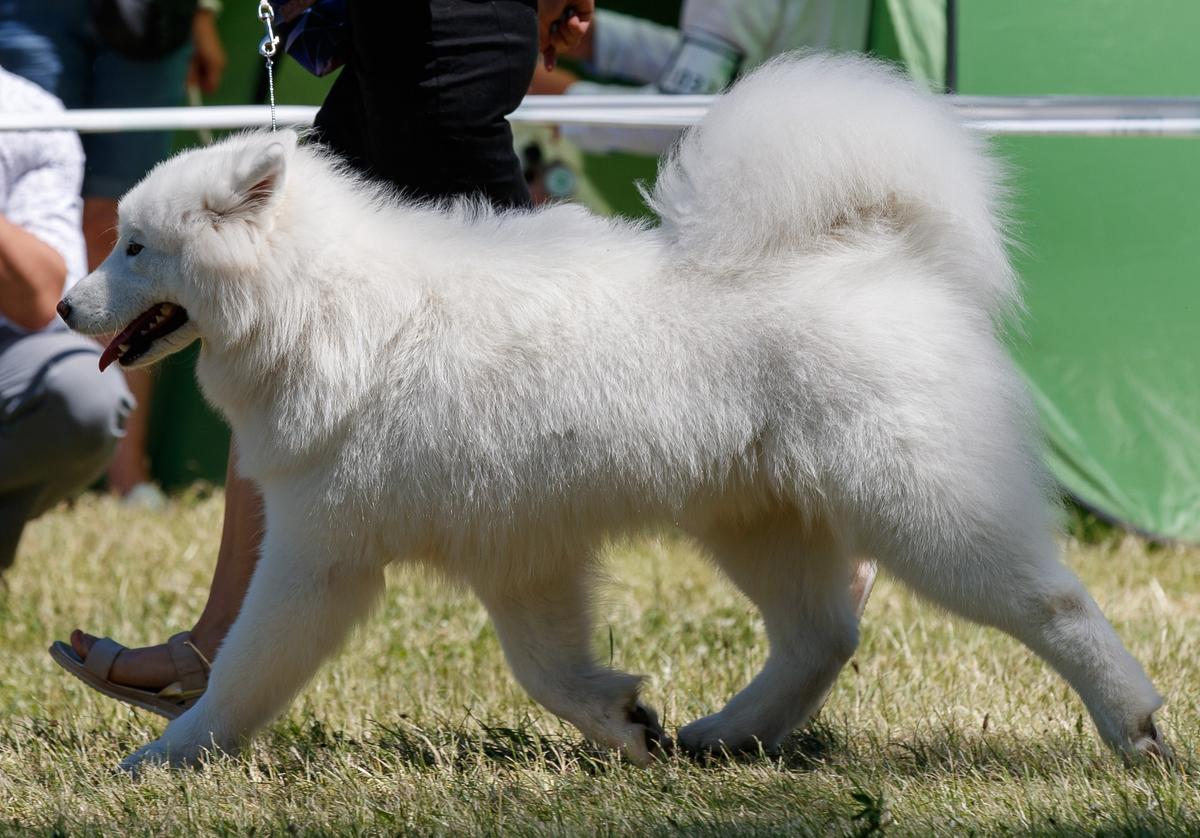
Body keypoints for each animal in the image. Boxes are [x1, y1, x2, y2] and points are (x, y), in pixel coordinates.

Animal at [60, 53, 1166, 768]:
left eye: (136, 248)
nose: (67, 307)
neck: (325, 304)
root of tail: (880, 253)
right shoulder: (518, 551)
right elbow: (545, 666)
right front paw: (623, 722)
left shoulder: (319, 559)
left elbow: (244, 671)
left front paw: (164, 757)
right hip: (755, 520)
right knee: (823, 635)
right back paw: (731, 733)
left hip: (922, 511)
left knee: (1050, 605)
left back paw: (1137, 727)